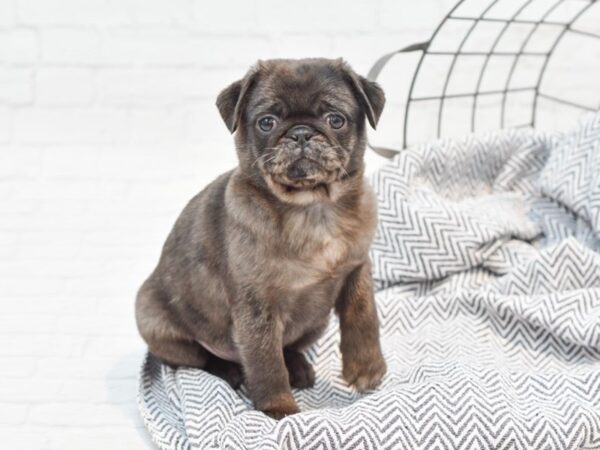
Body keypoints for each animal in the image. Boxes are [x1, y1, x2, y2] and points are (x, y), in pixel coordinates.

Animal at [135, 58, 386, 420]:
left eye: (335, 119)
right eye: (267, 122)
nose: (301, 132)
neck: (312, 210)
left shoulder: (357, 271)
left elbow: (363, 318)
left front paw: (367, 368)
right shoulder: (257, 307)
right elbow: (266, 362)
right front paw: (279, 410)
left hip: (316, 322)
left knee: (289, 347)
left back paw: (298, 367)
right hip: (154, 320)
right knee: (201, 358)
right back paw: (230, 371)